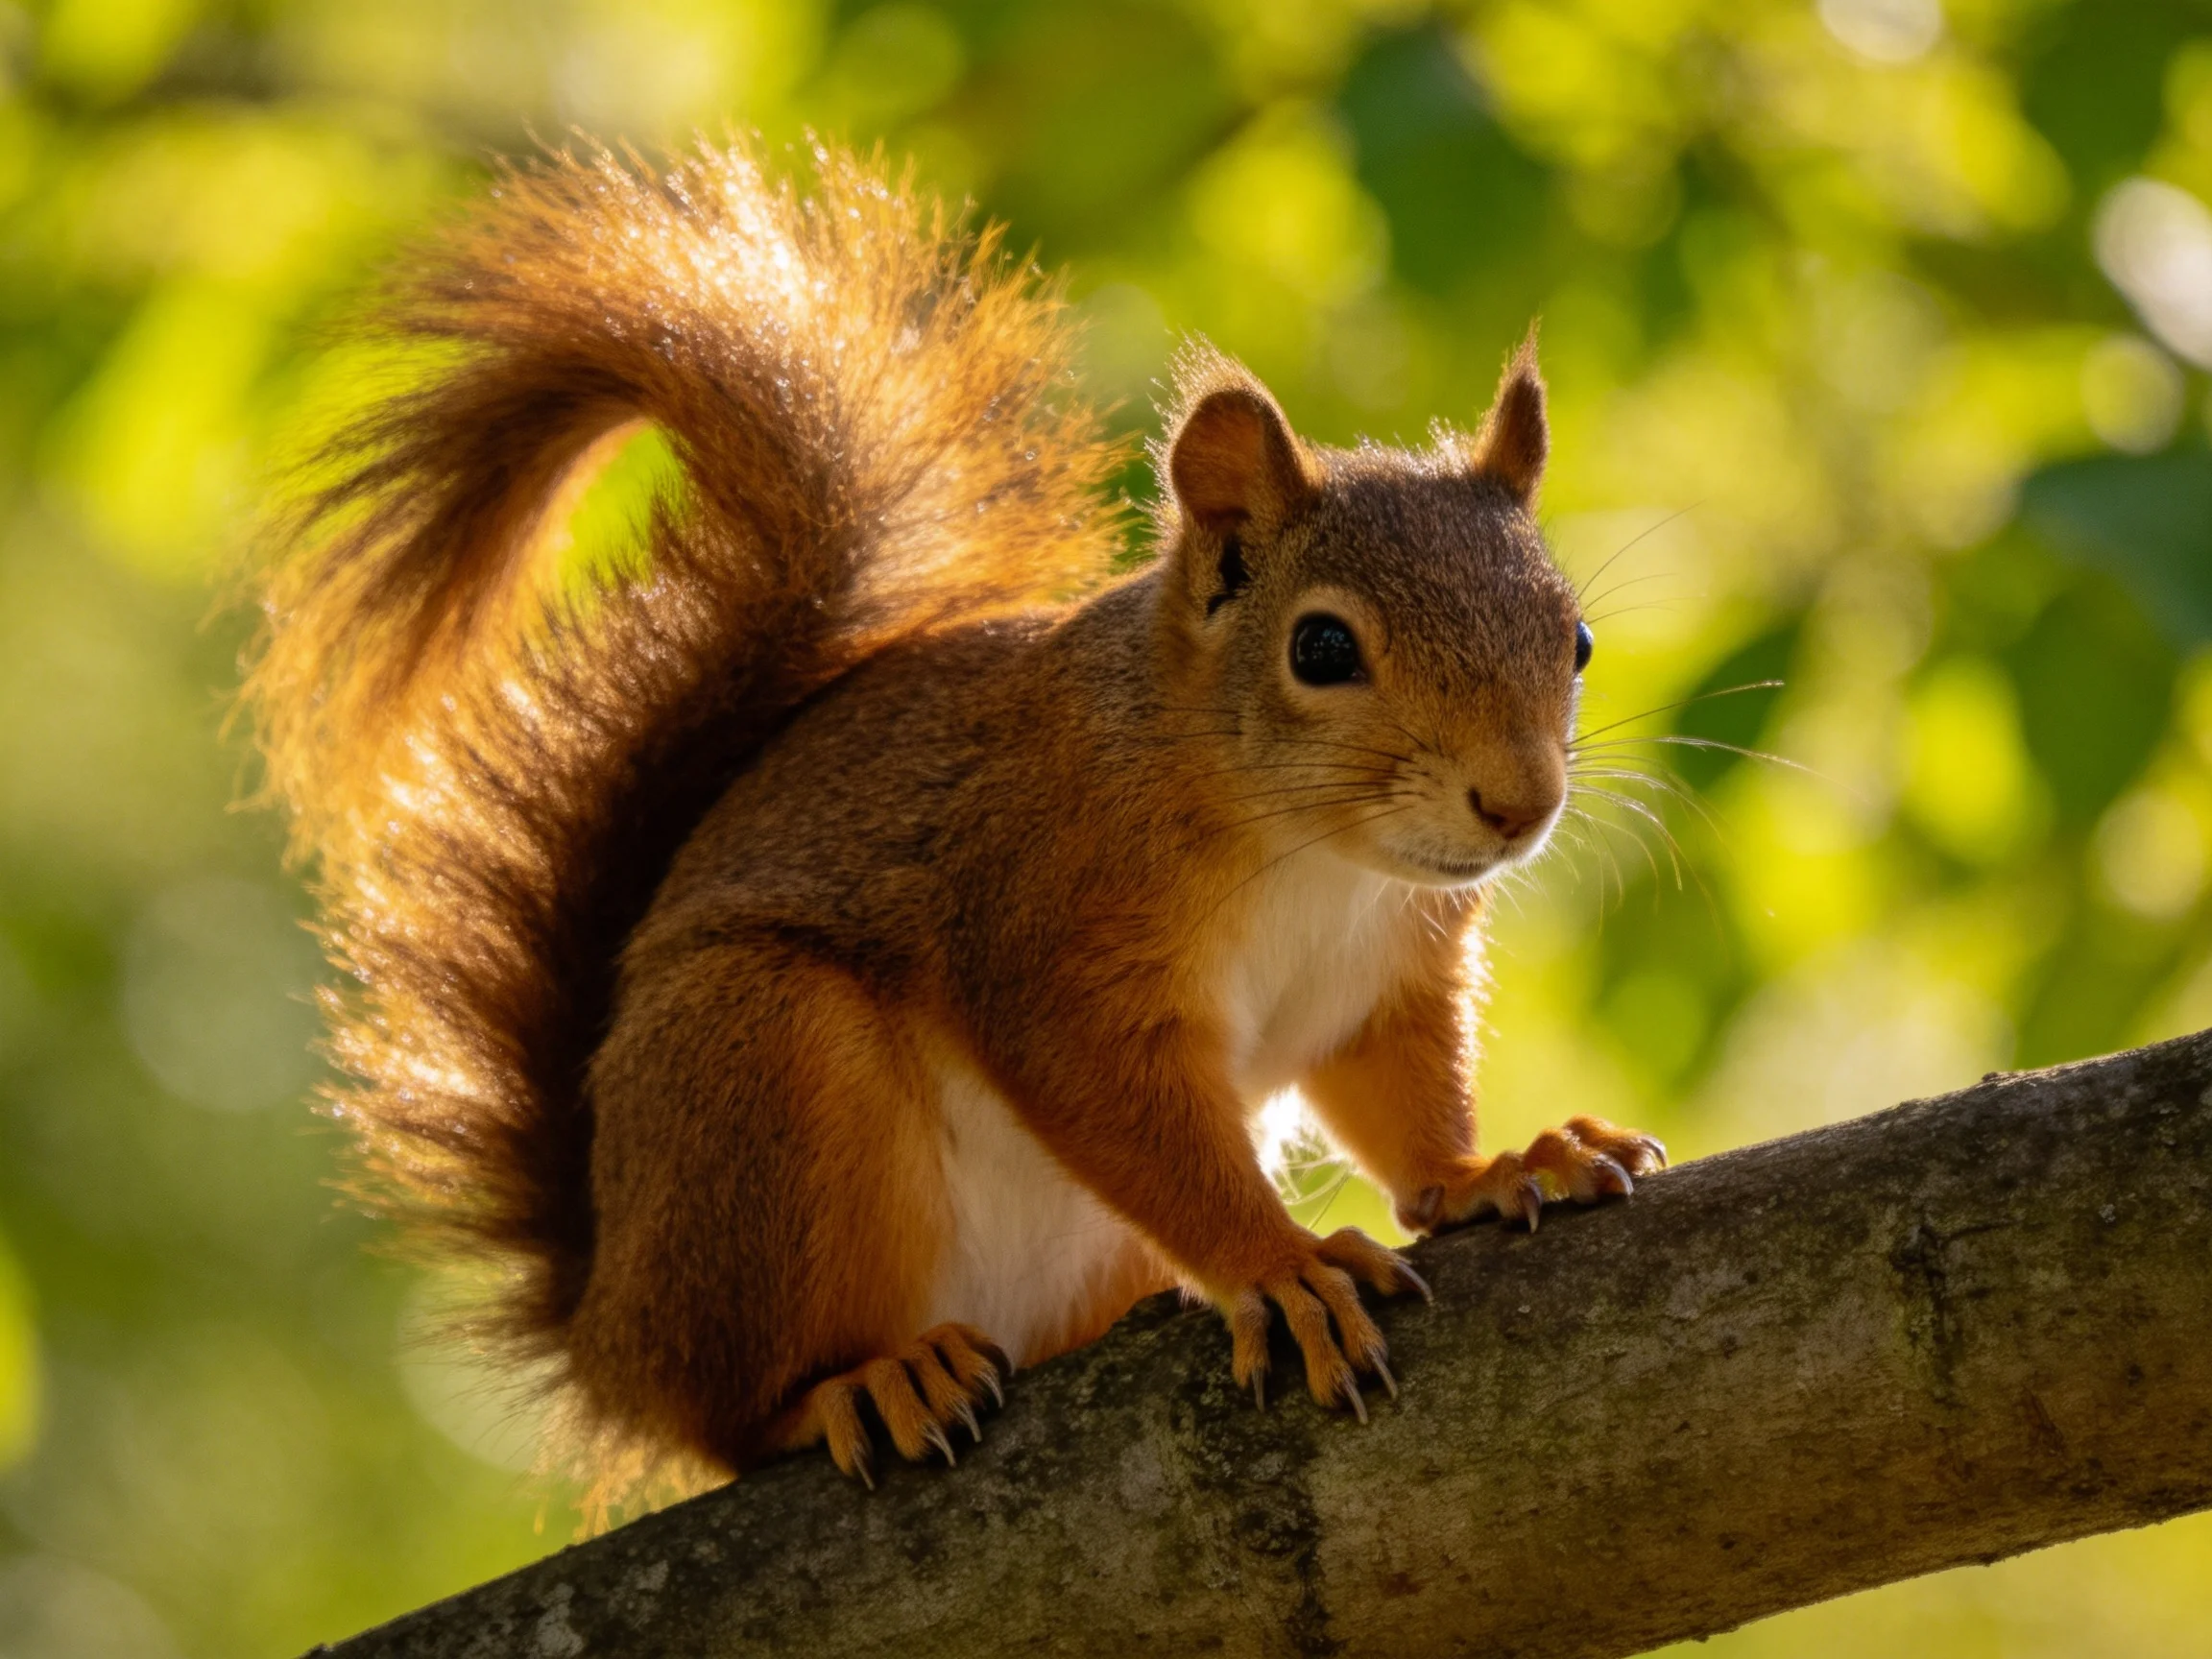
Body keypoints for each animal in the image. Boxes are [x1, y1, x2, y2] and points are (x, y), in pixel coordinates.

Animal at [247, 137, 1665, 1496]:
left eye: (1578, 641)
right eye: (1321, 648)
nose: (1519, 804)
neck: (1317, 858)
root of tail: (608, 1330)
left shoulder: (1385, 978)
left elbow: (1403, 1097)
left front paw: (1492, 1171)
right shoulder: (1044, 923)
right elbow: (1125, 1114)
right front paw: (1278, 1264)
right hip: (760, 1071)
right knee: (737, 1409)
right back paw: (861, 1385)